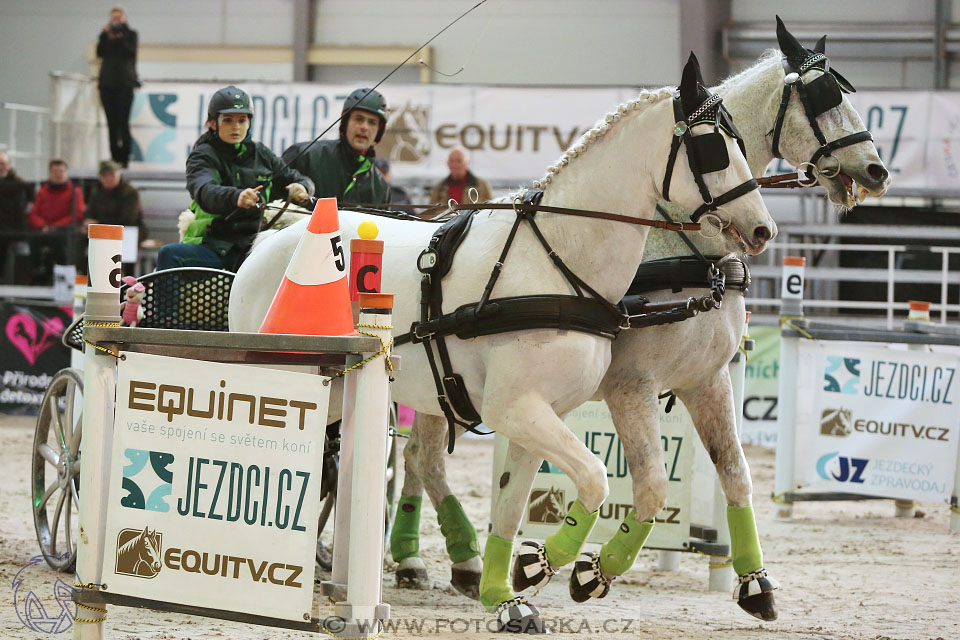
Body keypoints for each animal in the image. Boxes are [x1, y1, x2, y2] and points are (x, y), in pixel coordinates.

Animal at [229, 53, 776, 632]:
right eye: (713, 147)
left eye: (744, 142)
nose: (764, 230)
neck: (557, 262)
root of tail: (272, 238)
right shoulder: (526, 406)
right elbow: (597, 479)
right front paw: (550, 566)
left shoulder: (540, 413)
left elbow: (514, 505)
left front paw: (507, 592)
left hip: (344, 391)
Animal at [394, 17, 888, 624]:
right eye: (826, 97)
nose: (877, 171)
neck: (682, 251)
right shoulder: (631, 386)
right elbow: (650, 485)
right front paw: (575, 568)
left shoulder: (707, 379)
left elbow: (736, 475)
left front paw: (754, 583)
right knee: (424, 457)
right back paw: (440, 559)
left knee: (417, 455)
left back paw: (445, 563)